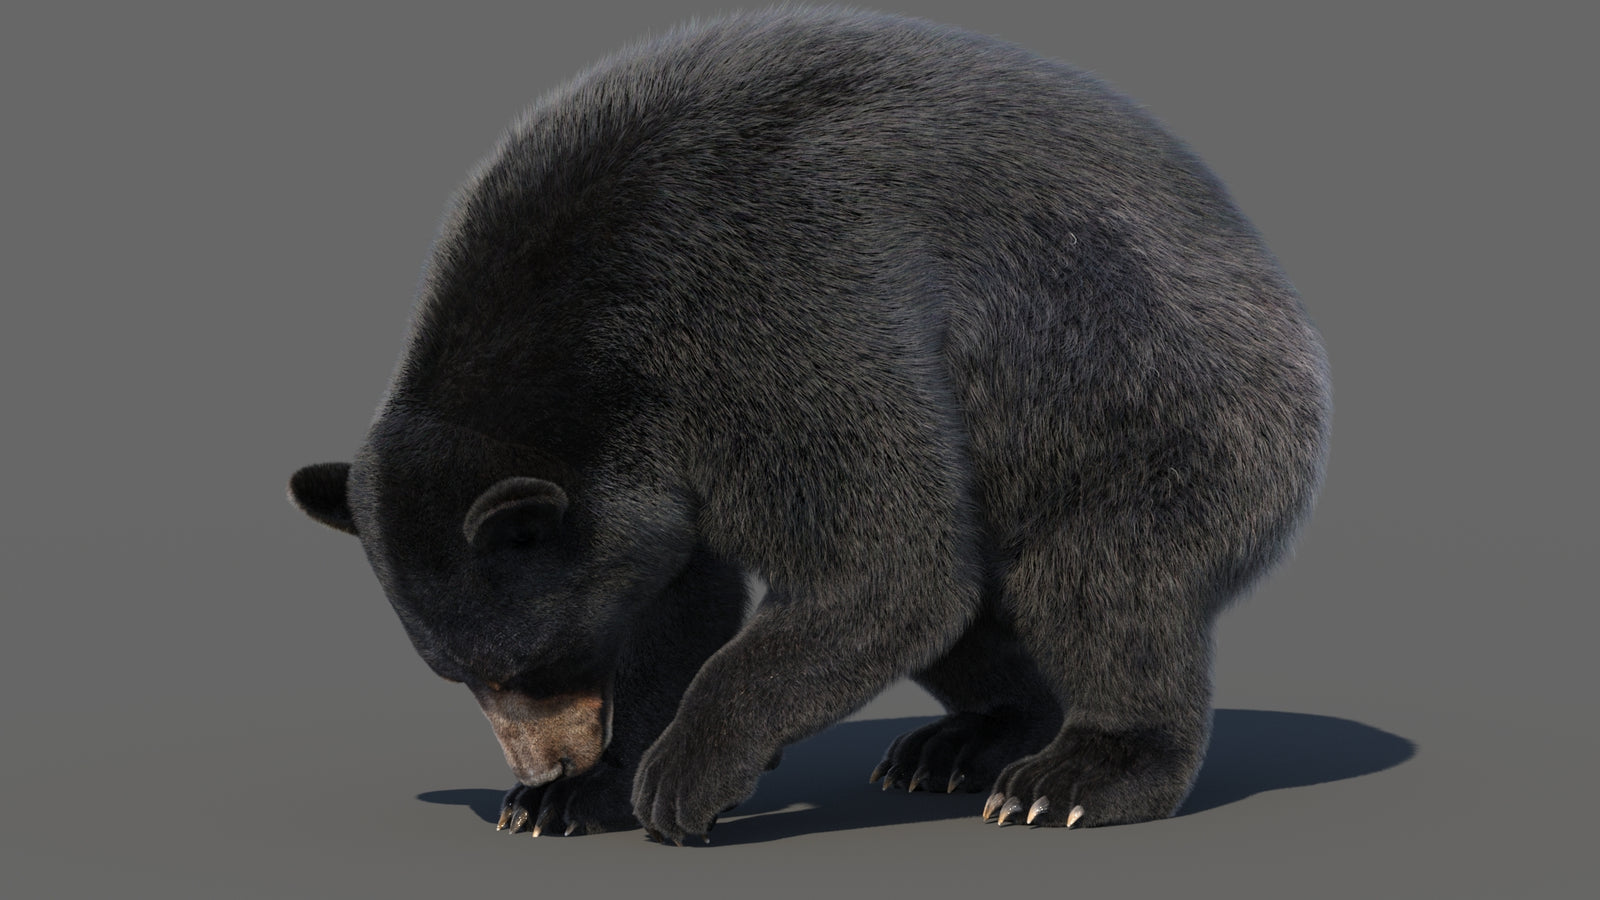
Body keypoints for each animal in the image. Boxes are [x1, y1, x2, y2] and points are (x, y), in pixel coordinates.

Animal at [289, 7, 1331, 844]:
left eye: (536, 662)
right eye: (457, 672)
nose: (545, 762)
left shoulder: (776, 308)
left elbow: (881, 562)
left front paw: (678, 774)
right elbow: (685, 593)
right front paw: (576, 798)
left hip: (1156, 404)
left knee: (1103, 580)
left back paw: (1073, 777)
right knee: (982, 612)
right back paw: (965, 741)